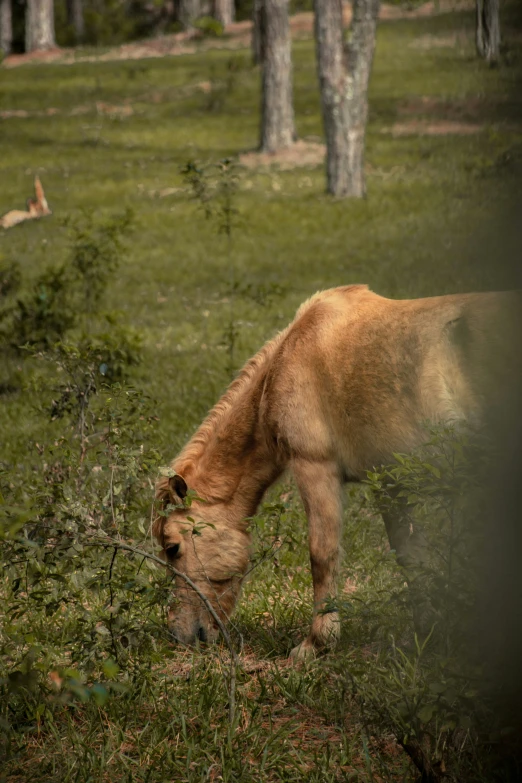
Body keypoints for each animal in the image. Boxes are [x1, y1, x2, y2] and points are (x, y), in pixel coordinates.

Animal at [152, 284, 516, 660]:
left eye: (173, 548)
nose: (179, 634)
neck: (291, 356)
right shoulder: (390, 481)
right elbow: (411, 556)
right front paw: (428, 634)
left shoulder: (315, 469)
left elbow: (322, 556)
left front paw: (316, 643)